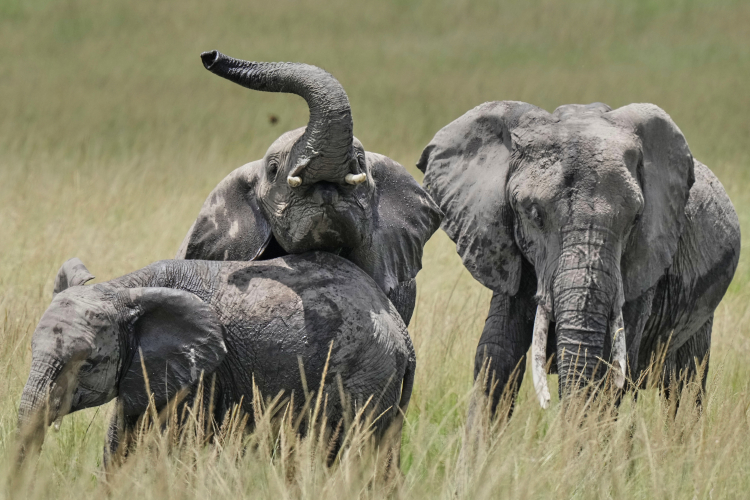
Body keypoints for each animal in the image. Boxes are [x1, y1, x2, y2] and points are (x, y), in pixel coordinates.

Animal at [17, 253, 415, 463]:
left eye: (87, 364)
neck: (124, 290)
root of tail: (403, 334)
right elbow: (120, 441)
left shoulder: (202, 375)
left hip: (365, 375)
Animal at [417, 101, 740, 411]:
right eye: (534, 214)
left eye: (635, 219)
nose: (548, 404)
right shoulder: (510, 254)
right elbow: (496, 353)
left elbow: (609, 366)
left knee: (685, 385)